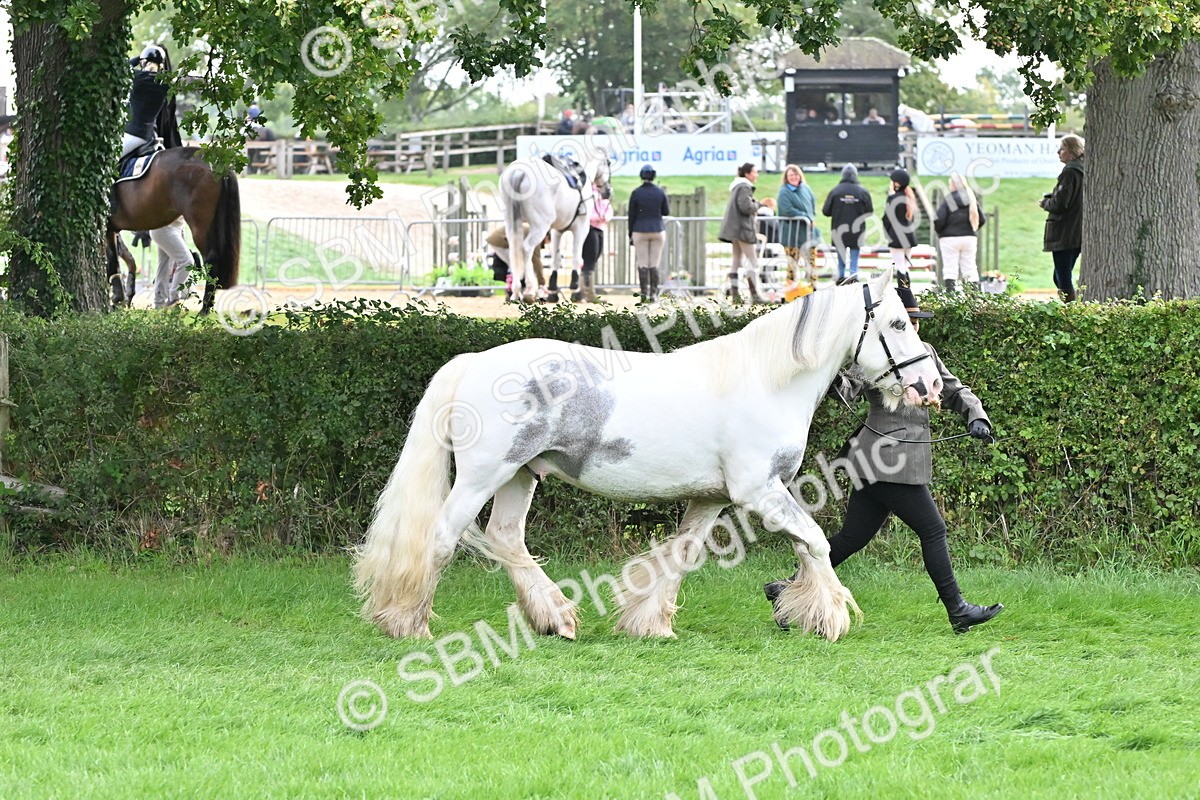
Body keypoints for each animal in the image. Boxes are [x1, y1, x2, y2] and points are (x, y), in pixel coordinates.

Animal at [107, 146, 240, 312]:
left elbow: (112, 261)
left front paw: (117, 298)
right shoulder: (113, 228)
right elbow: (126, 260)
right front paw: (124, 297)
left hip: (200, 224)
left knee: (211, 258)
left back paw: (204, 309)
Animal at [353, 269, 945, 643]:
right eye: (898, 324)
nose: (932, 385)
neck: (766, 380)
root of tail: (475, 361)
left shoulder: (712, 500)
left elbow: (680, 555)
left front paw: (649, 624)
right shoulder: (759, 492)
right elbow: (816, 542)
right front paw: (827, 619)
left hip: (520, 476)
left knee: (505, 538)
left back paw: (556, 619)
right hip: (481, 476)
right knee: (441, 538)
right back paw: (410, 625)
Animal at [499, 151, 611, 303]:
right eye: (608, 163)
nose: (608, 191)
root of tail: (520, 172)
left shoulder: (557, 230)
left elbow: (555, 260)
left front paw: (553, 292)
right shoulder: (581, 228)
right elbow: (577, 257)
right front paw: (576, 290)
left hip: (512, 223)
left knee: (514, 250)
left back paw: (516, 293)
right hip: (540, 226)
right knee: (526, 248)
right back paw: (529, 291)